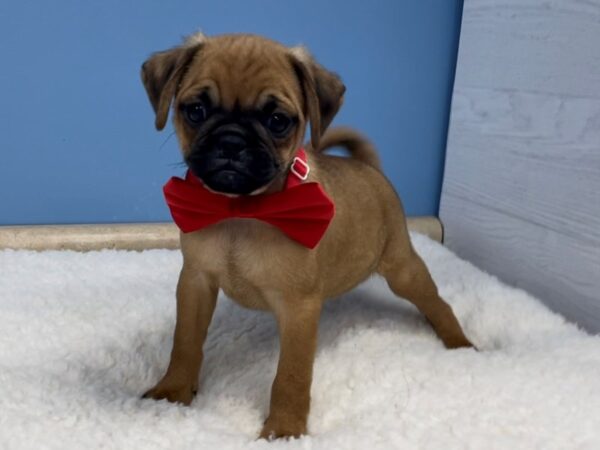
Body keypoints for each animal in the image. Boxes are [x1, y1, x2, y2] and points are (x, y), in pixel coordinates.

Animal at [142, 31, 474, 440]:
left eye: (277, 120)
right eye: (196, 111)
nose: (232, 141)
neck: (242, 211)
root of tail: (367, 167)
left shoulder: (298, 310)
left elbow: (292, 375)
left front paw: (284, 429)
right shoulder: (196, 283)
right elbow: (185, 343)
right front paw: (172, 393)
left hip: (403, 269)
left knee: (438, 304)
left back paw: (459, 343)